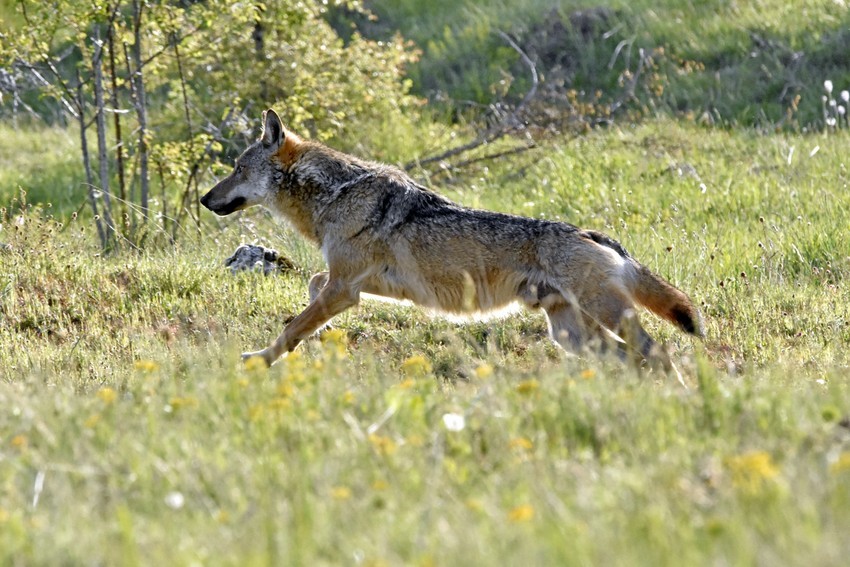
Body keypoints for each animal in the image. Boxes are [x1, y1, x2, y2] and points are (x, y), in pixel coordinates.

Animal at [200, 110, 704, 368]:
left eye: (237, 168)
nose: (205, 199)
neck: (336, 195)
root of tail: (597, 235)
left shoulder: (345, 286)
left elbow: (291, 329)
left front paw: (259, 359)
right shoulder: (353, 285)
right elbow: (310, 292)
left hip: (604, 318)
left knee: (659, 353)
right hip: (572, 335)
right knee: (634, 359)